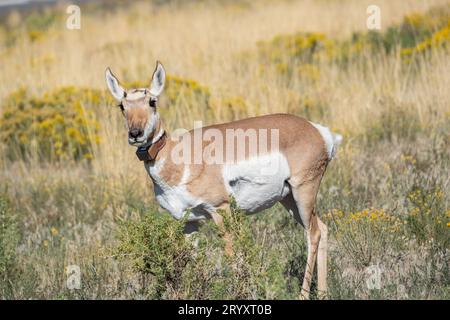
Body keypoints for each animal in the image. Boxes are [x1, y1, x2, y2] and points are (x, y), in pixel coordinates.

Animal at [105, 61, 342, 298]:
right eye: (122, 106)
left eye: (152, 101)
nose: (136, 133)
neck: (179, 157)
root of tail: (318, 130)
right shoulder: (188, 222)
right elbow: (190, 260)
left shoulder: (221, 210)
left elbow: (233, 257)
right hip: (289, 199)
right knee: (322, 229)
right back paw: (323, 293)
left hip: (303, 191)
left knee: (313, 233)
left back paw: (303, 294)